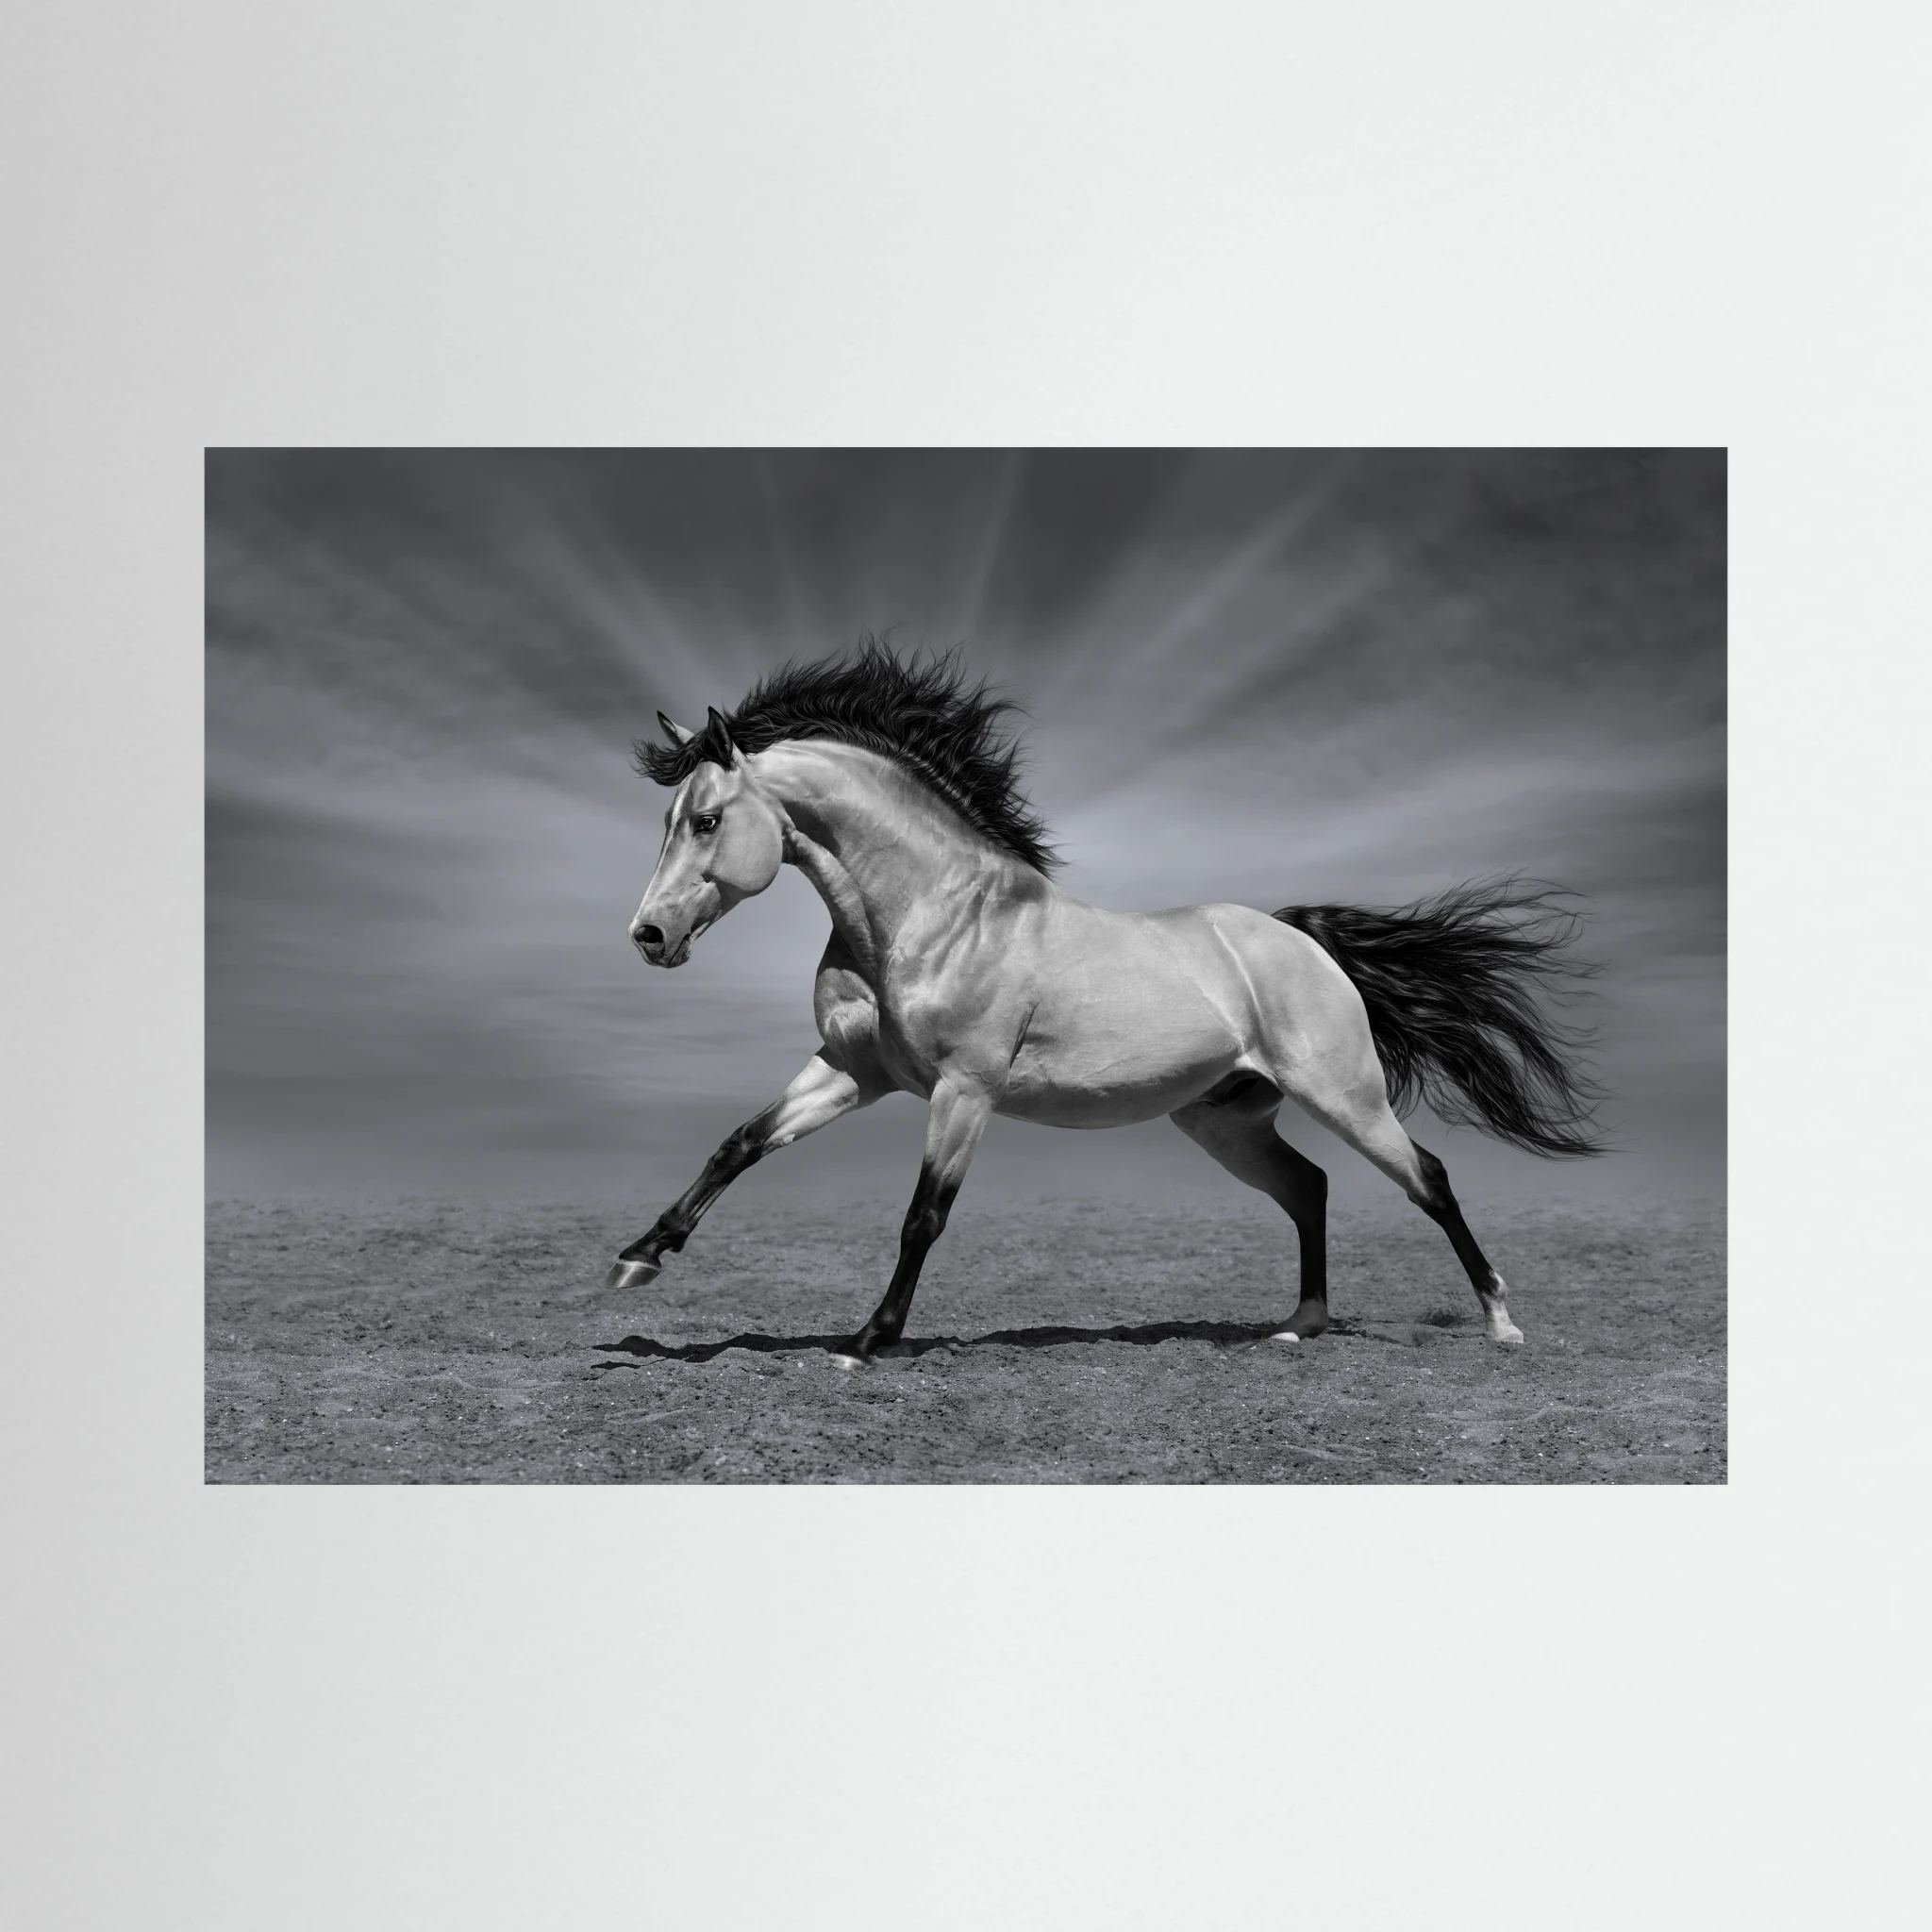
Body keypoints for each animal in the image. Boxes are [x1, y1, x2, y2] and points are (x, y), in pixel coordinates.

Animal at [608, 643, 1604, 1366]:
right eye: (669, 821)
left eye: (705, 820)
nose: (648, 936)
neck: (933, 916)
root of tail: (1301, 940)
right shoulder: (855, 1072)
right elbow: (739, 1143)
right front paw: (638, 1258)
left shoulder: (963, 1092)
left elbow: (924, 1214)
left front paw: (867, 1342)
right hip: (1224, 1120)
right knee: (1309, 1187)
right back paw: (1299, 1325)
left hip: (1344, 1096)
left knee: (1427, 1178)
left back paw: (1501, 1324)